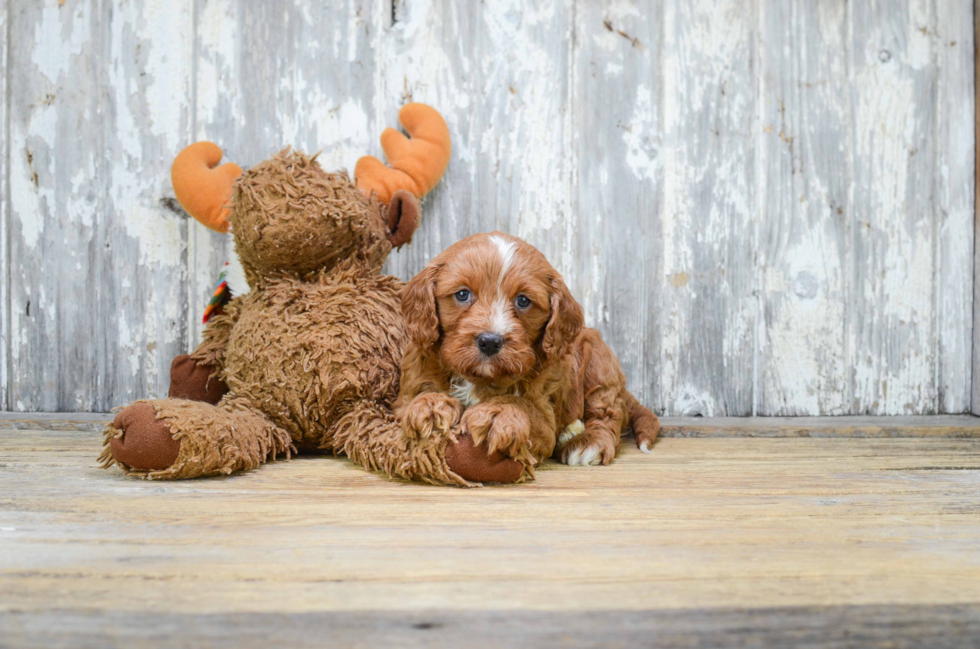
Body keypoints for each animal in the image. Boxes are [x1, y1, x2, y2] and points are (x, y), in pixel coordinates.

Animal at [394, 230, 664, 478]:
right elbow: (411, 401)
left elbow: (524, 406)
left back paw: (588, 442)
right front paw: (430, 404)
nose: (490, 341)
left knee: (608, 411)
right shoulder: (407, 387)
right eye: (462, 294)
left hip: (597, 360)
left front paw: (498, 413)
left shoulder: (544, 416)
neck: (478, 378)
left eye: (523, 301)